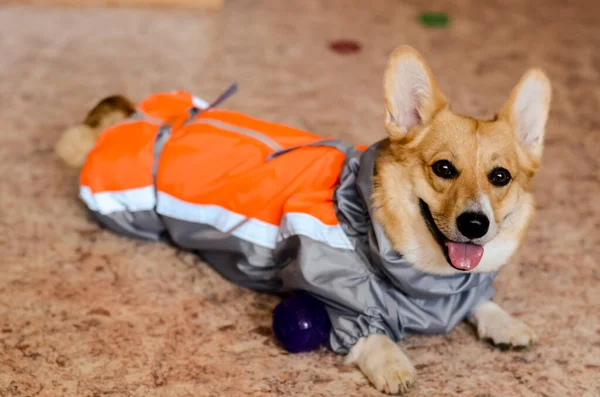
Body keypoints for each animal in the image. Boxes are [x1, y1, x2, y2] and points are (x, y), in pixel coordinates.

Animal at [54, 46, 552, 392]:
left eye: (500, 176)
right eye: (443, 168)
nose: (475, 225)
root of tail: (152, 117)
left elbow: (481, 299)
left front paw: (505, 322)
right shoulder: (331, 295)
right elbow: (368, 334)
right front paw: (393, 364)